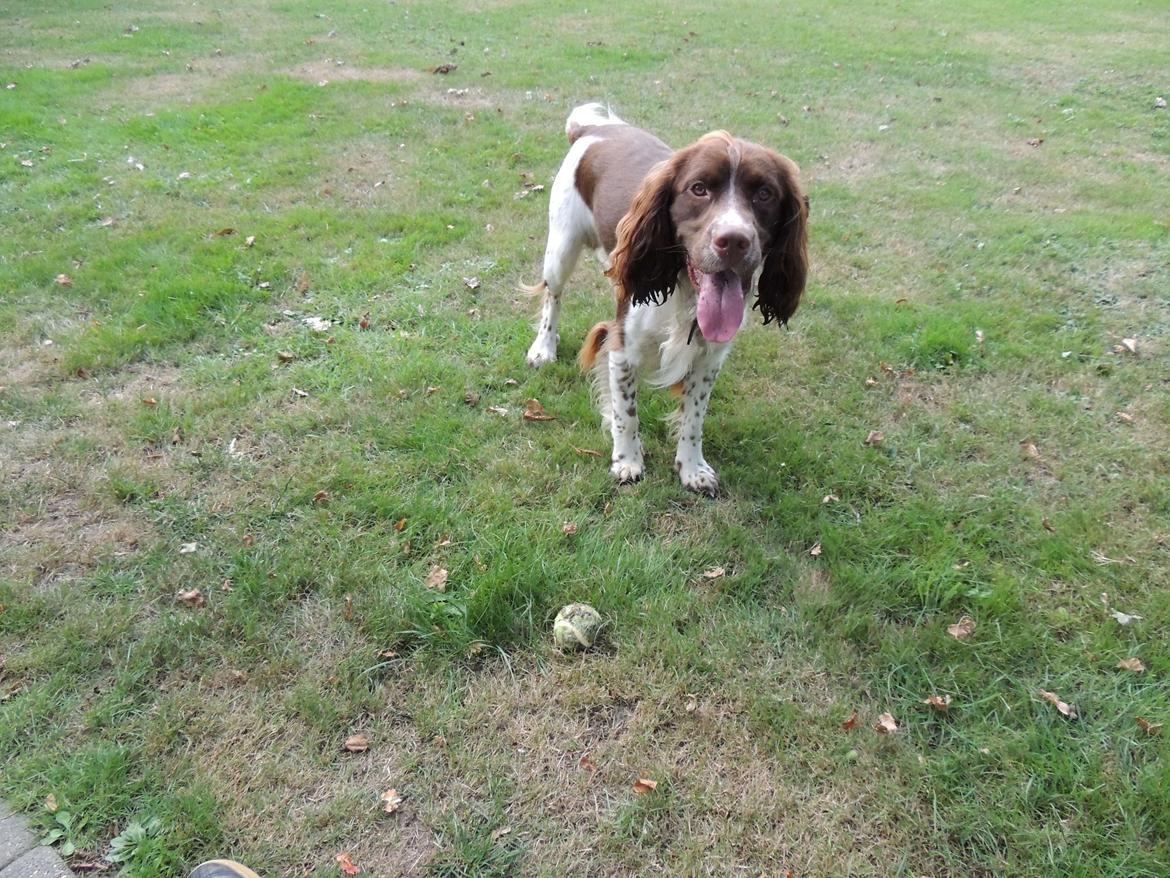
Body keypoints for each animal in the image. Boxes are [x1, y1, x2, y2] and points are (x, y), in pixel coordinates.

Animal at [526, 103, 809, 496]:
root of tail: (594, 128)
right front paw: (627, 461)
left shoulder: (710, 358)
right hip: (561, 247)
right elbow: (626, 412)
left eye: (765, 193)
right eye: (699, 188)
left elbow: (694, 417)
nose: (734, 240)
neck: (685, 289)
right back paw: (543, 348)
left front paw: (691, 467)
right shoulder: (622, 346)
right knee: (553, 297)